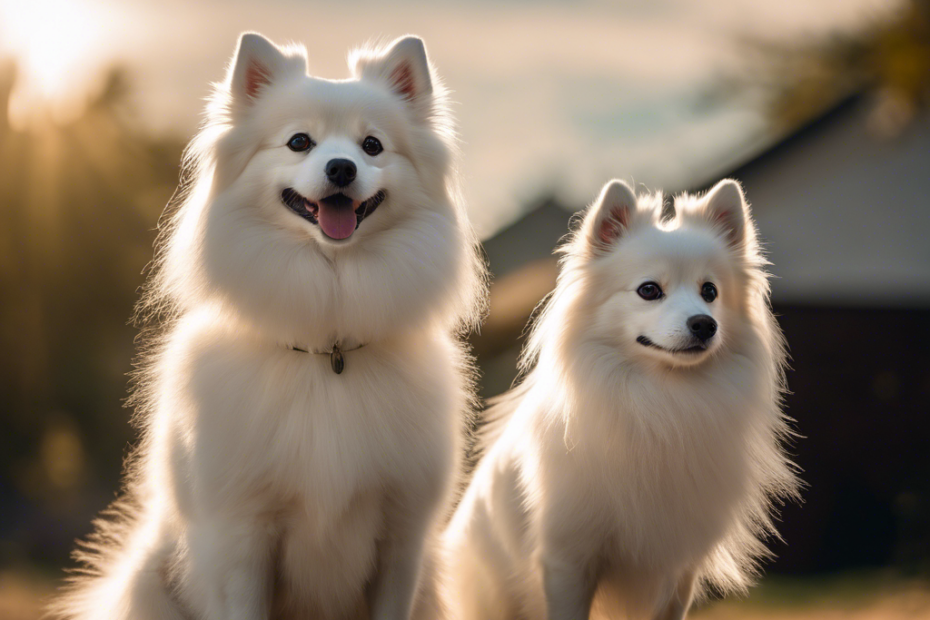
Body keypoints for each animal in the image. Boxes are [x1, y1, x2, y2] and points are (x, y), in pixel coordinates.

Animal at [50, 32, 486, 620]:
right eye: (299, 142)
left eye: (372, 146)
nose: (342, 168)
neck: (329, 351)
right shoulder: (243, 535)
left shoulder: (402, 537)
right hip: (151, 578)